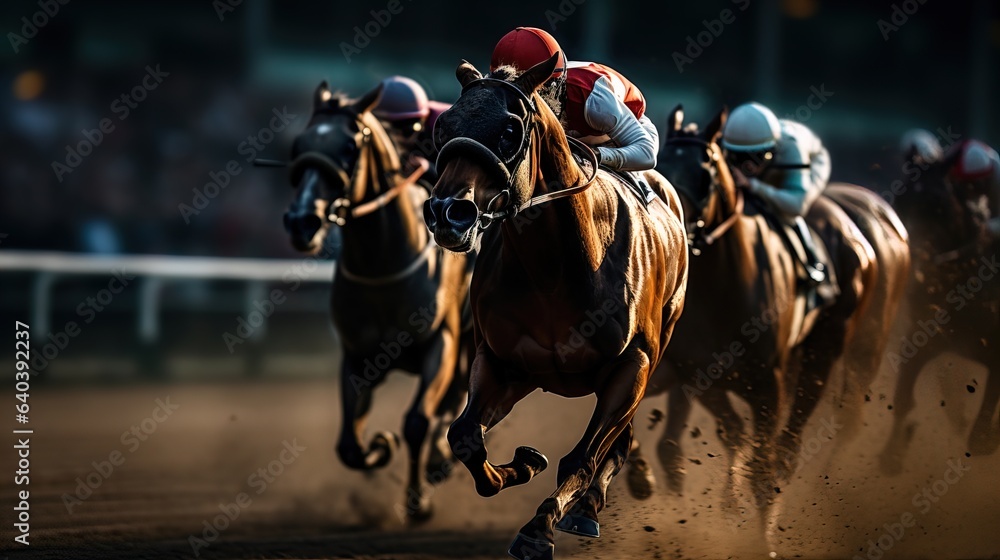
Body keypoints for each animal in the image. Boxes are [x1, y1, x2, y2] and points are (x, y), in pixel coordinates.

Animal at [278, 83, 472, 520]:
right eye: (298, 144)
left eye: (350, 146)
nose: (301, 222)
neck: (383, 264)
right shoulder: (357, 357)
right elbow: (349, 444)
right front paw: (380, 448)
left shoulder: (442, 342)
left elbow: (417, 421)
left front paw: (417, 502)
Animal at [422, 53, 688, 560]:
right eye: (442, 126)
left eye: (510, 129)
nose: (447, 212)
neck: (555, 268)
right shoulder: (502, 361)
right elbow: (464, 437)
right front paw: (524, 463)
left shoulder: (632, 364)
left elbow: (582, 456)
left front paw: (539, 528)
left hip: (659, 345)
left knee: (616, 442)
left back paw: (586, 509)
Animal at [648, 106, 916, 548]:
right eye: (660, 167)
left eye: (705, 173)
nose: (670, 227)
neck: (722, 286)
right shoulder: (700, 376)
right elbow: (735, 436)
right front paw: (729, 505)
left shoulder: (766, 382)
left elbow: (763, 463)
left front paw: (762, 542)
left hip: (841, 350)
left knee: (814, 434)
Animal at [884, 153, 1000, 468]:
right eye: (900, 200)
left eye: (938, 203)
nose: (910, 255)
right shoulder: (926, 337)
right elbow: (903, 399)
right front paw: (893, 454)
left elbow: (979, 438)